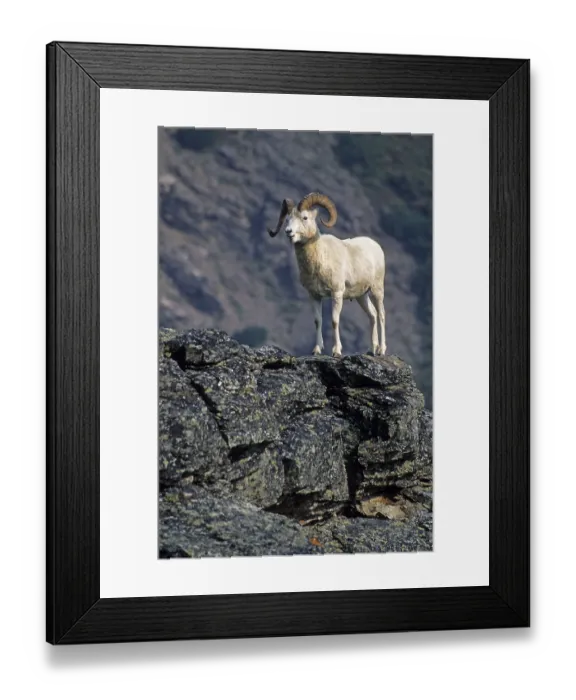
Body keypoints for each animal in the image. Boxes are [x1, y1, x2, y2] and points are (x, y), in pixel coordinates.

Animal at [268, 193, 386, 358]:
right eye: (287, 219)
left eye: (304, 217)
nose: (288, 232)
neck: (320, 259)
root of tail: (376, 246)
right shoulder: (314, 296)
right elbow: (318, 321)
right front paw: (316, 350)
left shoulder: (336, 293)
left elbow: (334, 321)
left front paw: (336, 351)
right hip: (361, 296)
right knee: (373, 315)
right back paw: (371, 349)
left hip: (377, 290)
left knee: (381, 315)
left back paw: (381, 350)